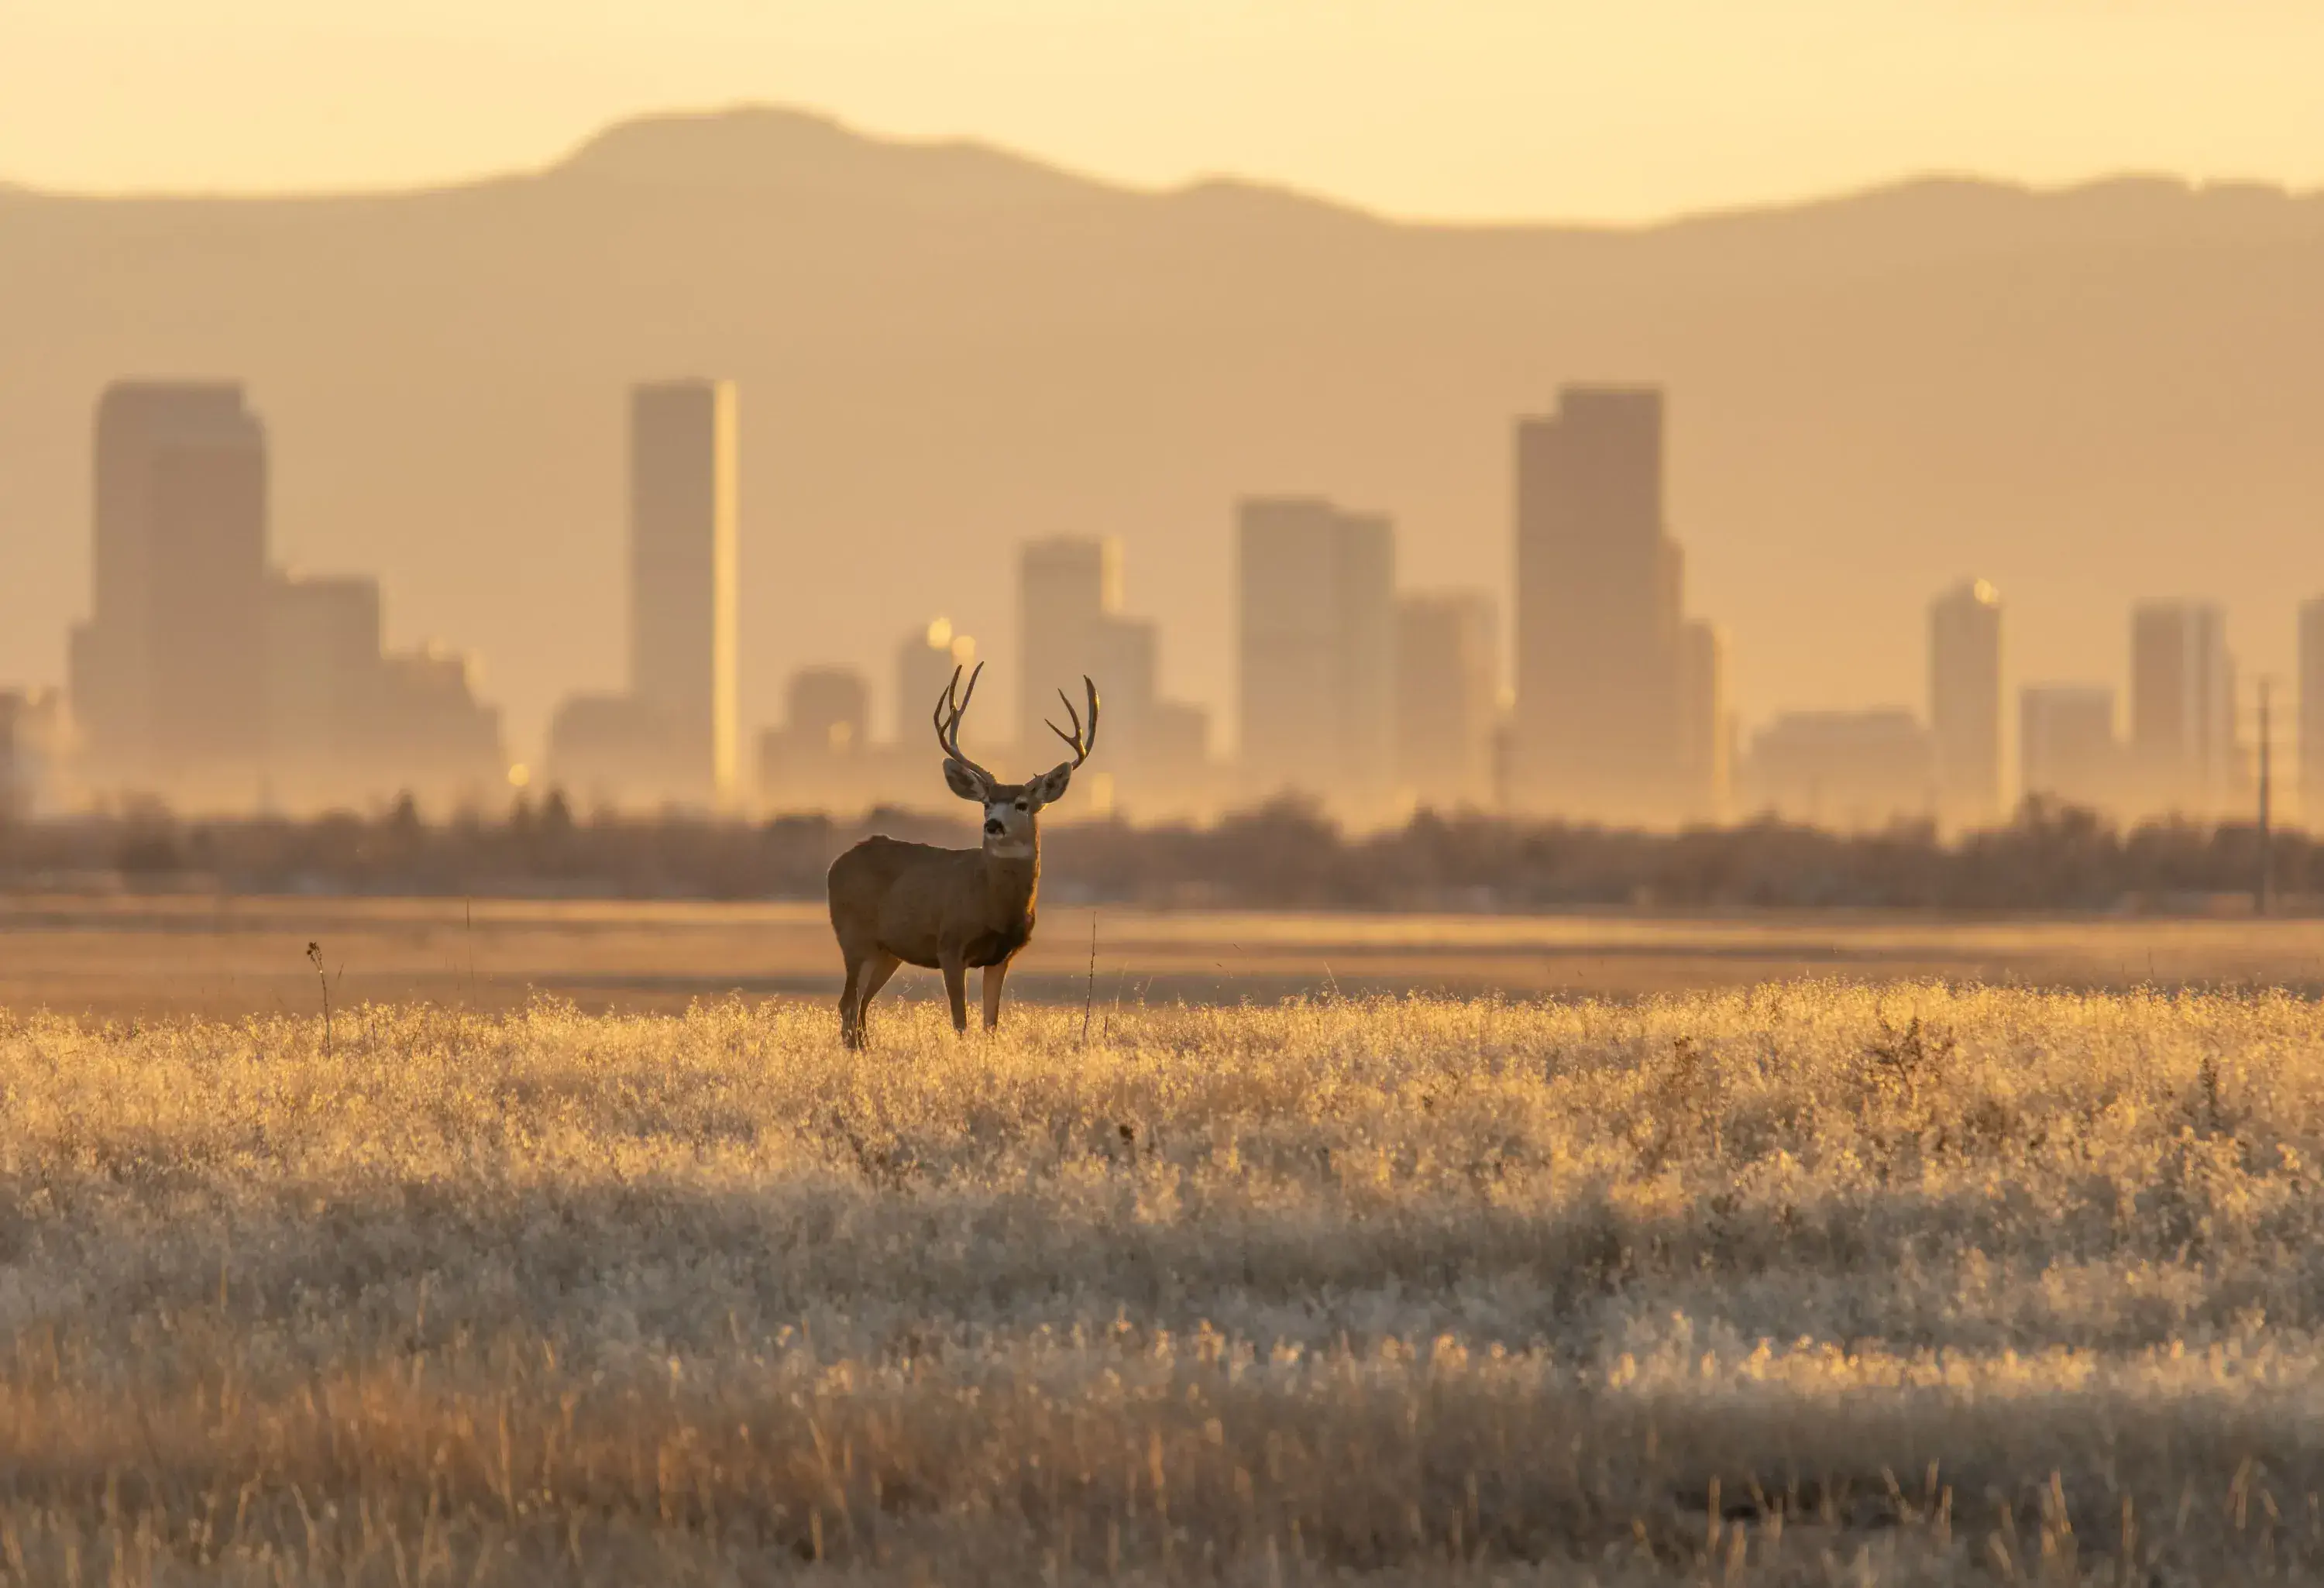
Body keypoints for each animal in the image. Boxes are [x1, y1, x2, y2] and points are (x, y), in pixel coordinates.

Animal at [827, 661, 1099, 1048]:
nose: (993, 825)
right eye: (986, 802)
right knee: (848, 1003)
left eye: (1022, 803)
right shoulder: (950, 945)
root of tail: (836, 865)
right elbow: (960, 1021)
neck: (993, 904)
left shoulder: (1002, 955)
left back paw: (866, 1050)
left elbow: (990, 1023)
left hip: (888, 950)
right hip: (854, 936)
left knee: (861, 1004)